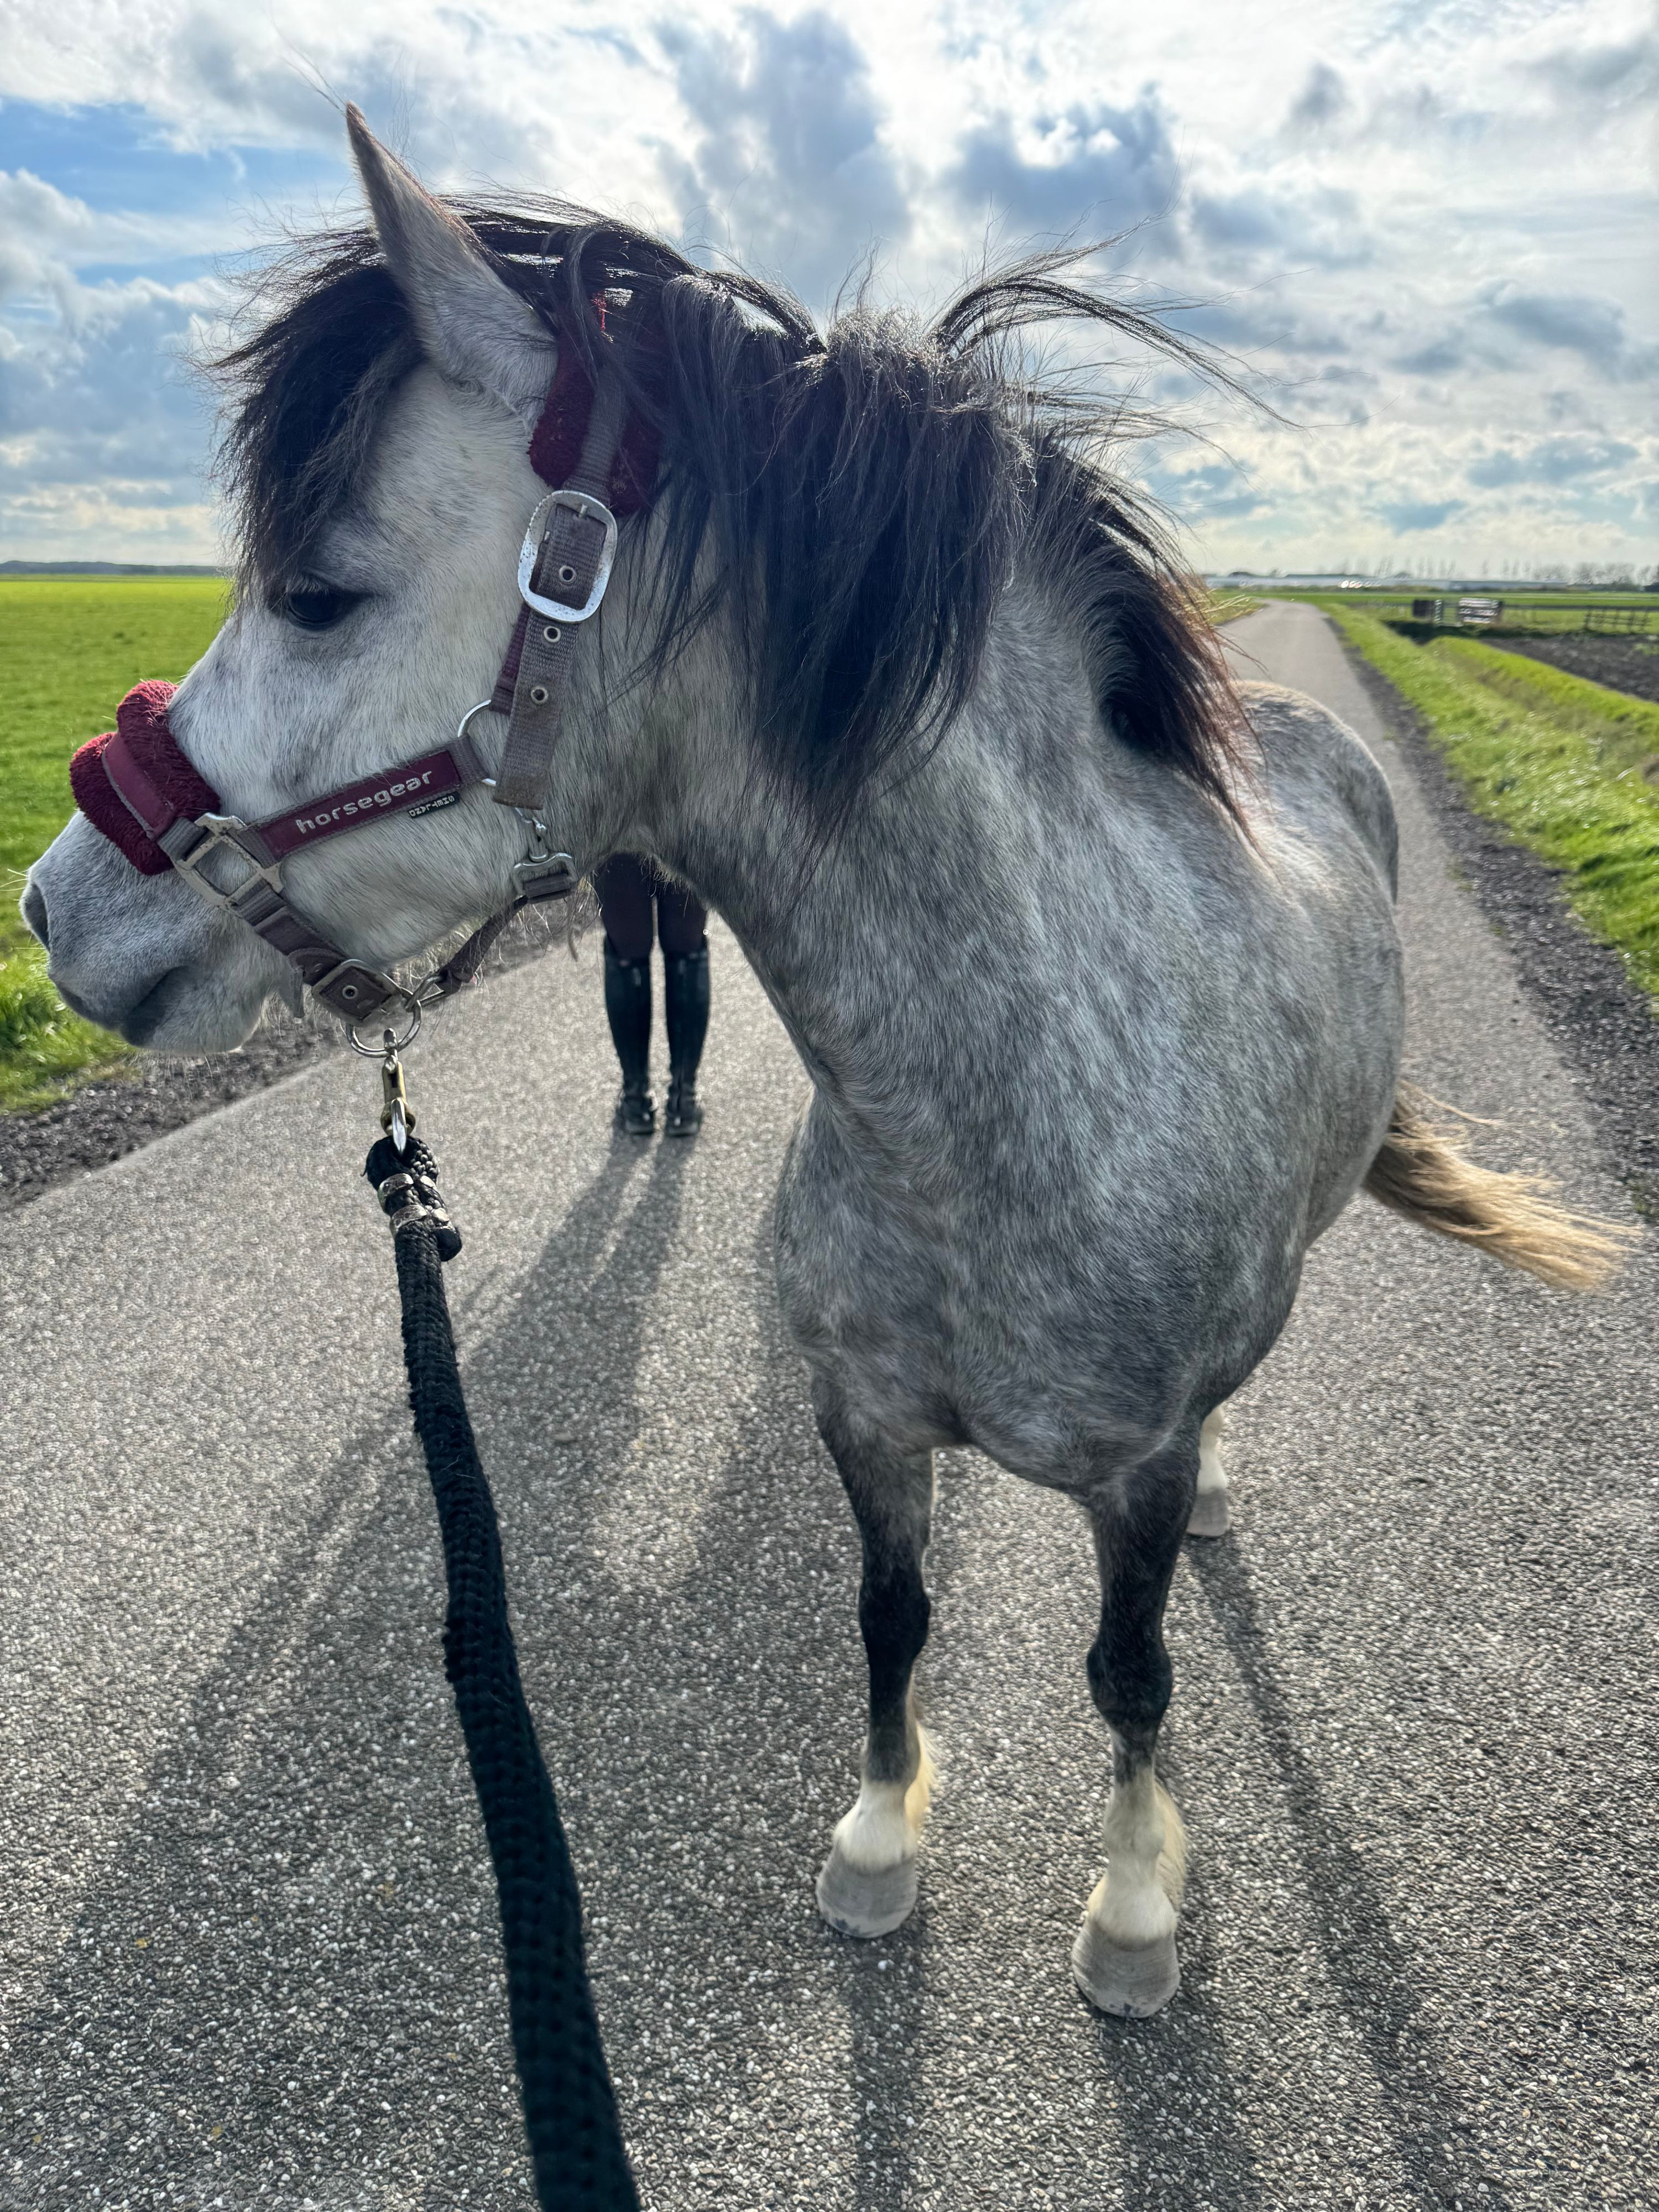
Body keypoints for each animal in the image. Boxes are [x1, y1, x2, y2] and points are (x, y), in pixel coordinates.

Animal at [22, 110, 1616, 2018]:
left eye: (322, 594)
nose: (58, 907)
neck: (994, 1127)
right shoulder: (859, 1421)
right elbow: (890, 1623)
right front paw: (877, 1842)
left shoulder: (1134, 1478)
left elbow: (1131, 1676)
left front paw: (1134, 1913)